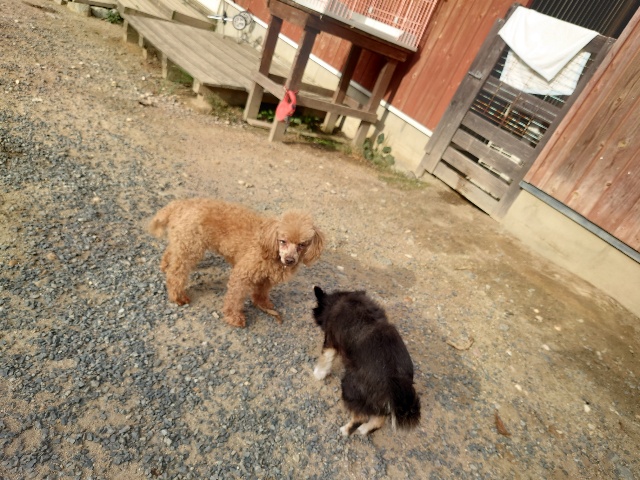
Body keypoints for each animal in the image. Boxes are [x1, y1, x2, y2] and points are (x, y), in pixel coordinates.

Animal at [148, 198, 324, 327]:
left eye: (302, 244)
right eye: (283, 241)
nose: (290, 260)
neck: (270, 250)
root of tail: (181, 204)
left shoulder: (266, 278)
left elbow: (261, 292)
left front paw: (263, 303)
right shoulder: (243, 274)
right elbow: (235, 298)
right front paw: (234, 318)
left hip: (183, 240)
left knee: (171, 252)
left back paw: (165, 265)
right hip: (191, 246)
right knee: (176, 273)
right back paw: (178, 296)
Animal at [312, 286, 421, 436]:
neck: (340, 299)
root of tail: (397, 384)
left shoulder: (330, 341)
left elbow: (325, 357)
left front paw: (319, 373)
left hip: (350, 388)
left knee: (361, 417)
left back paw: (345, 430)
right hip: (377, 403)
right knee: (379, 420)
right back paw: (364, 430)